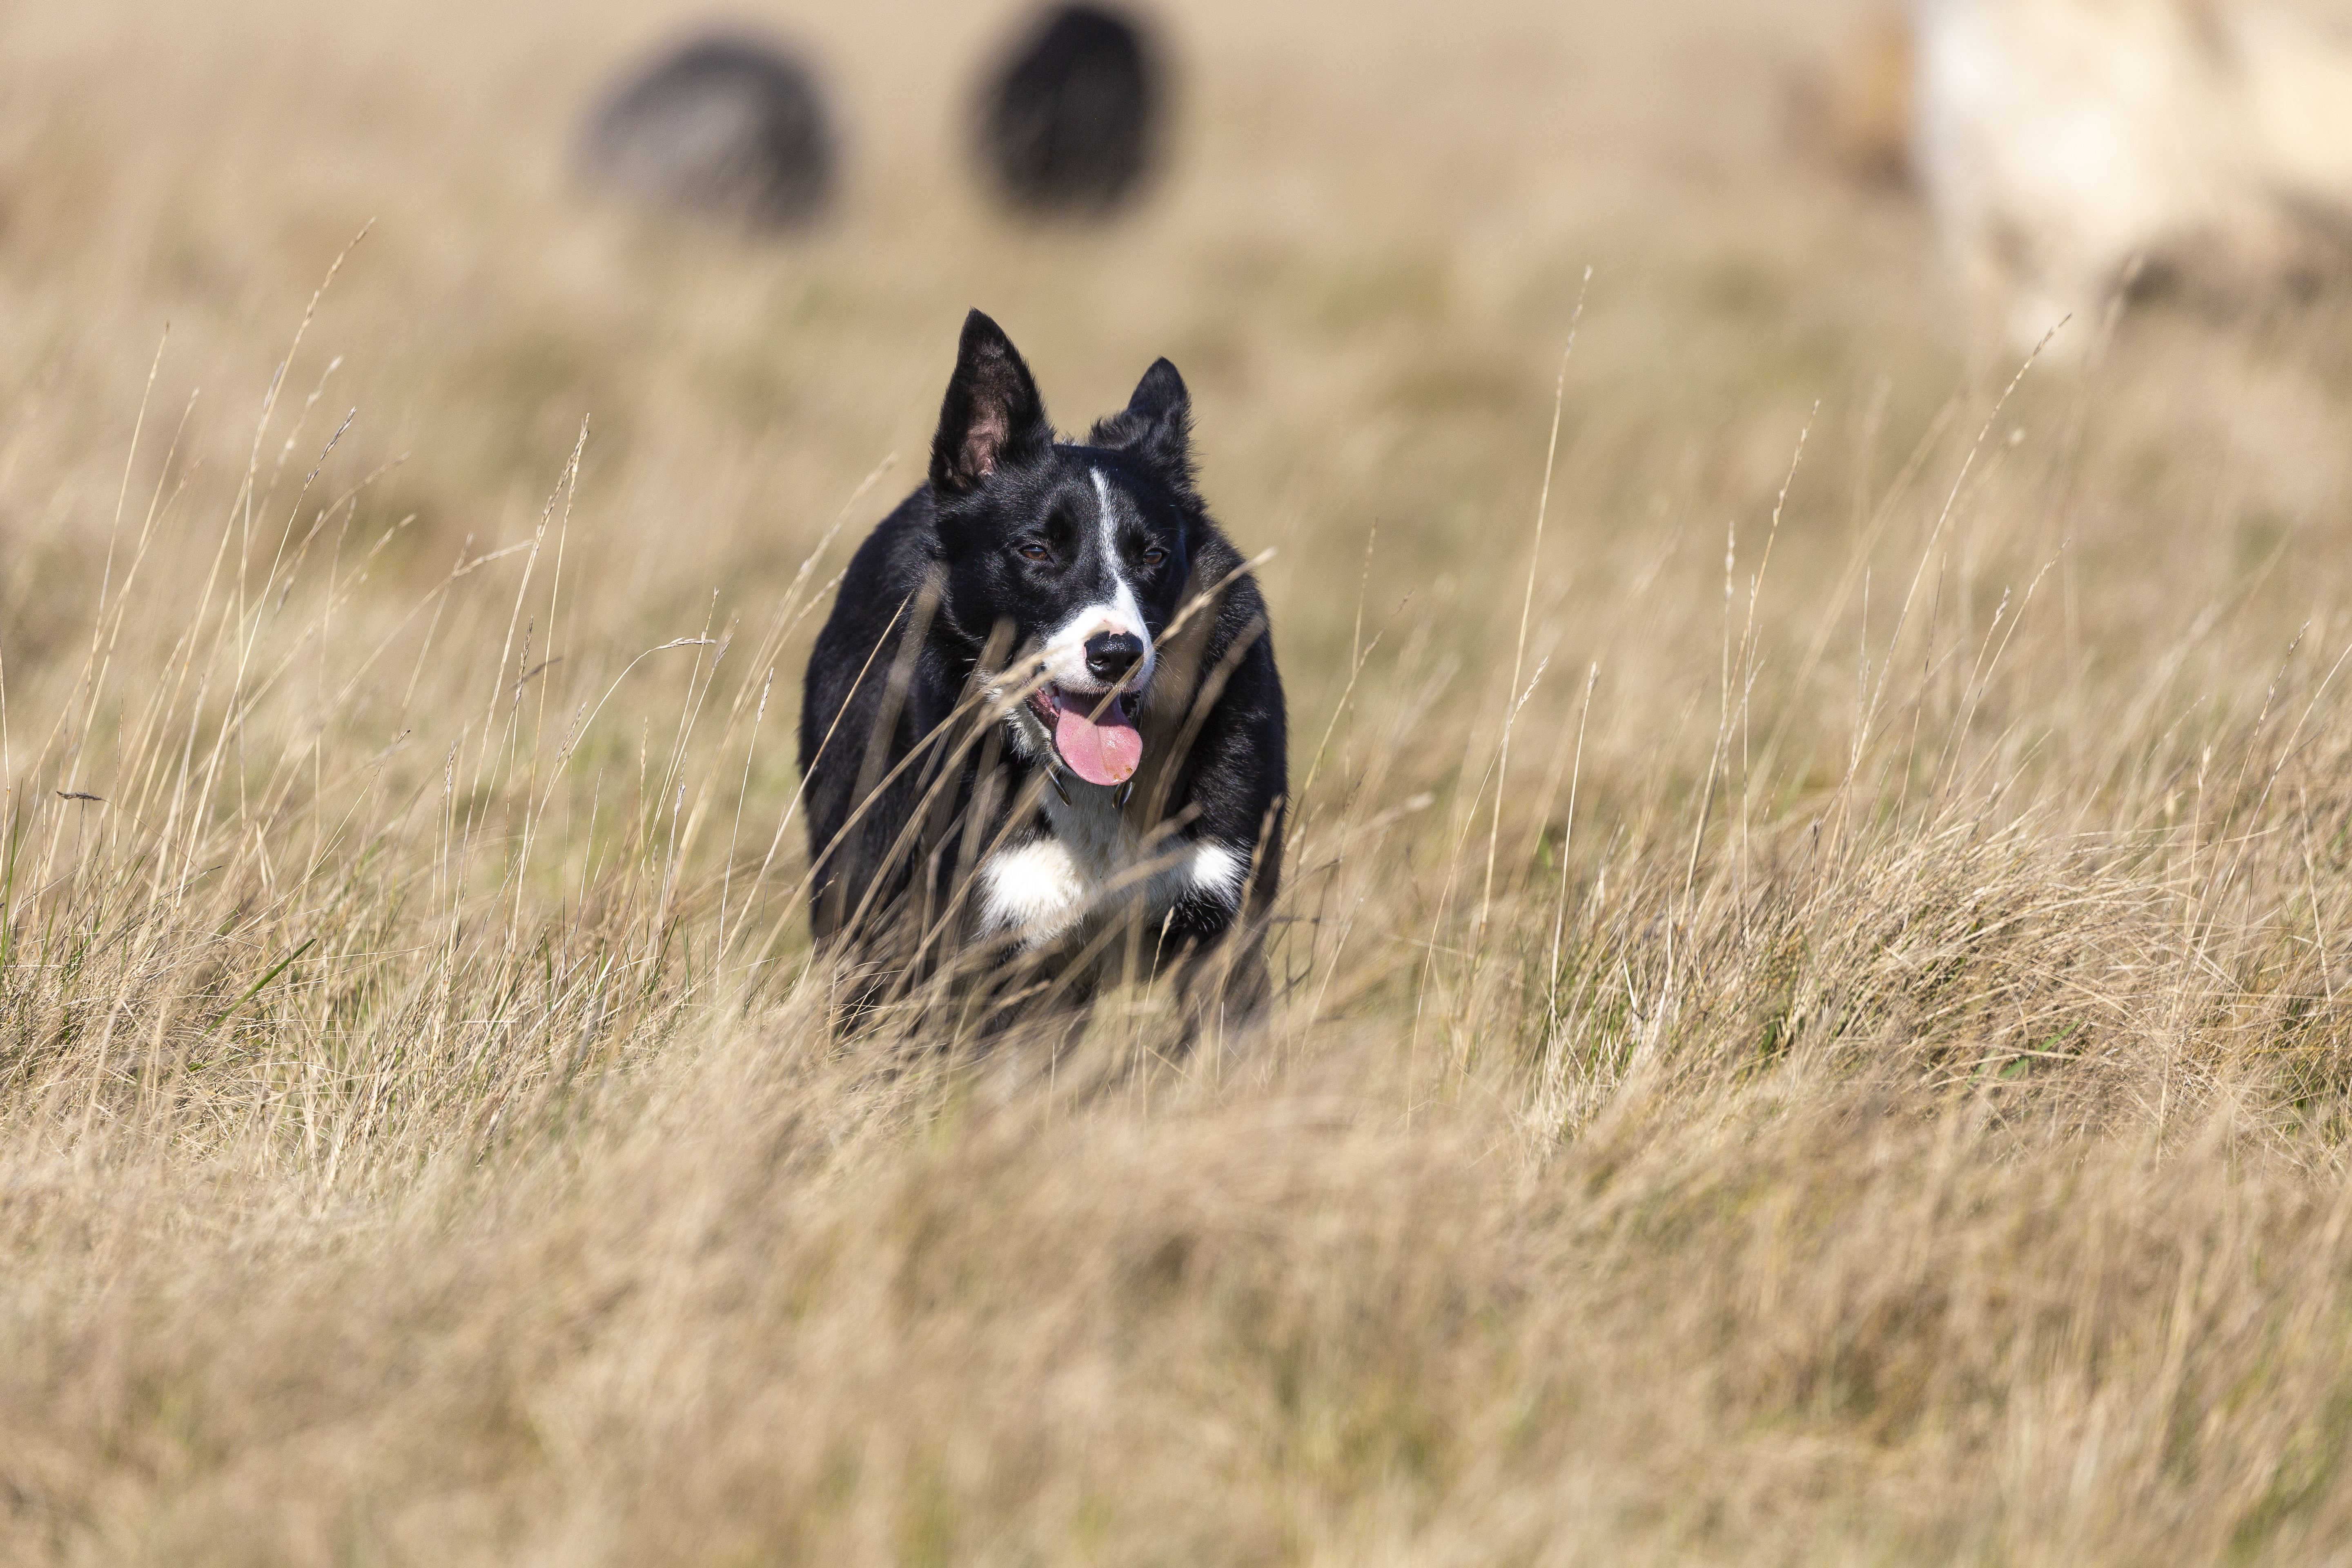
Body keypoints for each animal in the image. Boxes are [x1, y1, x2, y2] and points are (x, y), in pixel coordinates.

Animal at [804, 312, 1289, 1034]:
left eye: (1153, 556)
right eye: (1036, 551)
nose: (1117, 655)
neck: (1090, 793)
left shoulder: (1223, 926)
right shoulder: (993, 945)